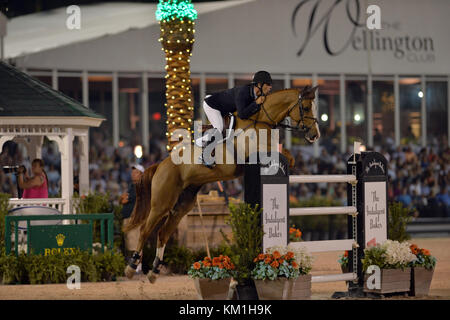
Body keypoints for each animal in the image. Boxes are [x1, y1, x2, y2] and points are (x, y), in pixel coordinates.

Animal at [123, 85, 320, 282]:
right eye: (306, 108)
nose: (315, 136)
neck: (261, 120)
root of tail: (160, 165)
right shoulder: (251, 153)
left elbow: (287, 155)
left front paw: (290, 163)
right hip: (161, 203)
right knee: (144, 230)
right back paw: (132, 267)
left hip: (183, 204)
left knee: (163, 232)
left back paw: (154, 271)